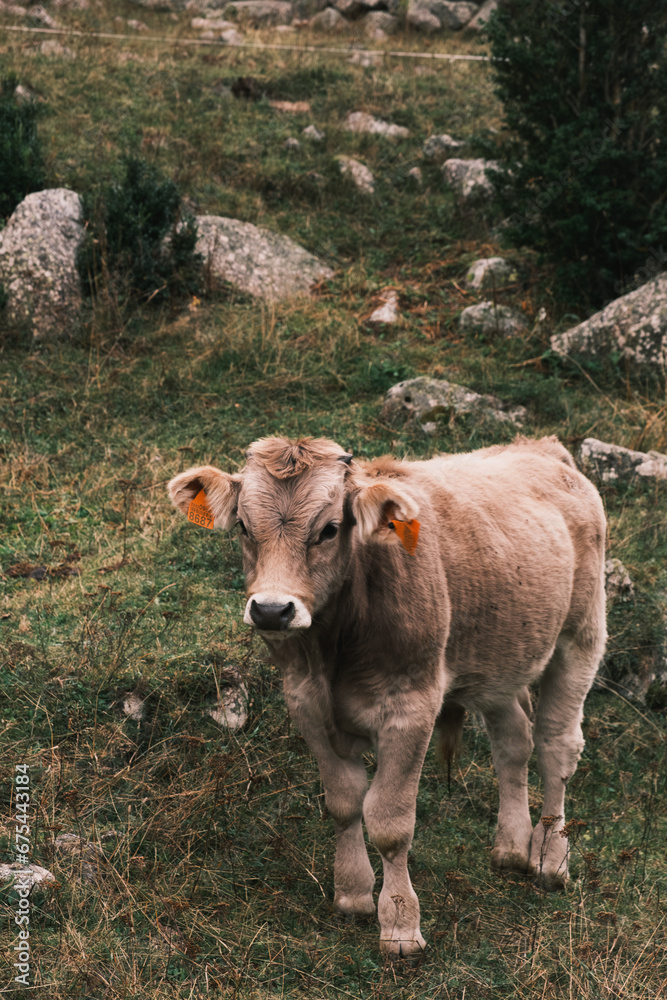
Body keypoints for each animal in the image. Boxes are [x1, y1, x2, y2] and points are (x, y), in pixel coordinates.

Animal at [170, 438, 608, 960]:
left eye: (330, 529)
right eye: (242, 526)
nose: (273, 610)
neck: (335, 650)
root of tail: (542, 447)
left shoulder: (411, 708)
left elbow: (389, 822)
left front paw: (400, 924)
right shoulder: (305, 703)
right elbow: (343, 802)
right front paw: (353, 893)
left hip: (581, 633)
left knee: (555, 746)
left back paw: (550, 857)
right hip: (499, 657)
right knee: (513, 741)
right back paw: (510, 845)